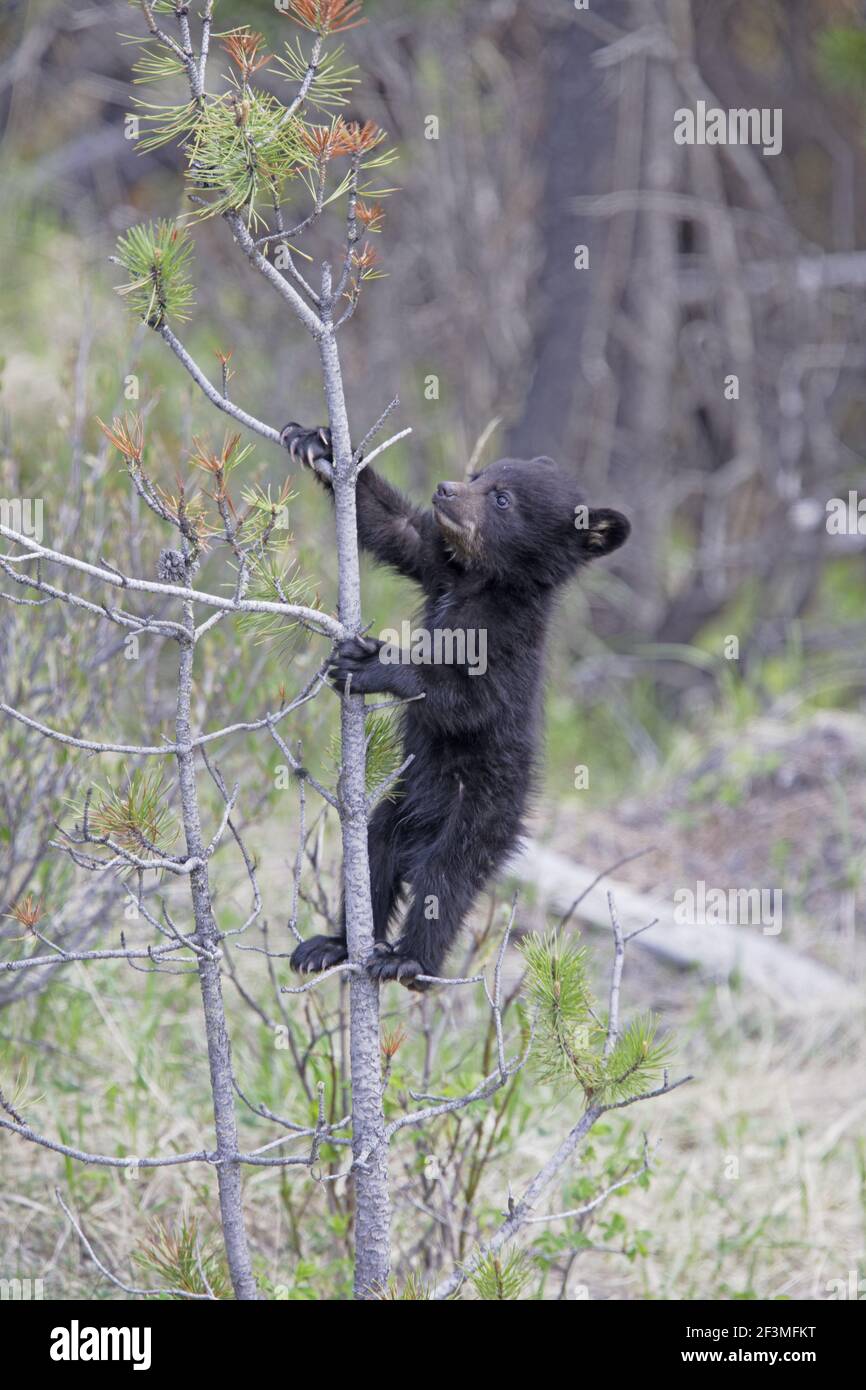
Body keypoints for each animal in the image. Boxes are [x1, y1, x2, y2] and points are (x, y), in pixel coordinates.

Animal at [280, 423, 630, 988]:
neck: (481, 584)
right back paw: (333, 944)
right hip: (397, 808)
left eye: (502, 499)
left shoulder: (507, 648)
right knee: (375, 855)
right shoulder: (439, 568)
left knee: (445, 880)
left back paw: (409, 962)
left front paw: (374, 660)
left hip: (483, 815)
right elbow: (394, 527)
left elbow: (466, 701)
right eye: (479, 474)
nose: (446, 488)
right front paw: (318, 442)